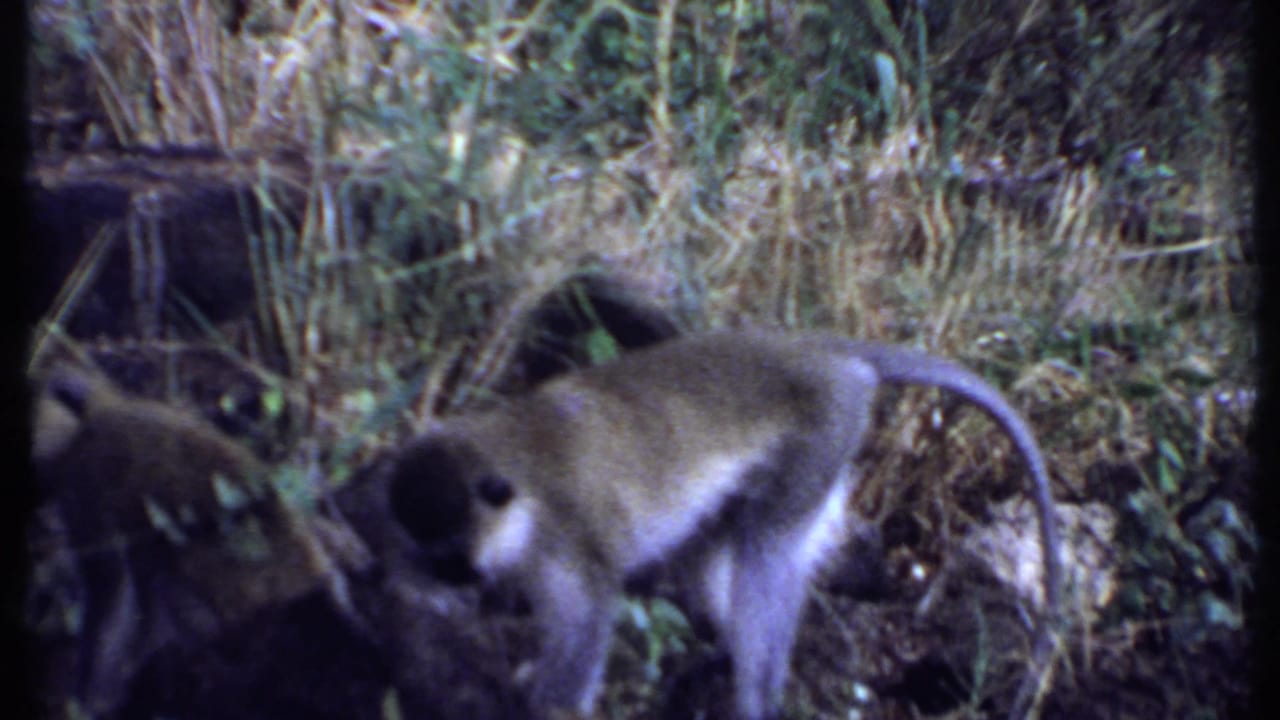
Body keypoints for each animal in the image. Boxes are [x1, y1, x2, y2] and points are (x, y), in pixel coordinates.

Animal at [387, 328, 1062, 720]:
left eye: (451, 550)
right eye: (424, 548)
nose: (448, 579)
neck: (518, 474)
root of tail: (824, 354)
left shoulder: (569, 545)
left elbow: (583, 633)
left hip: (825, 435)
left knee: (769, 550)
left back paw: (754, 696)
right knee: (712, 544)